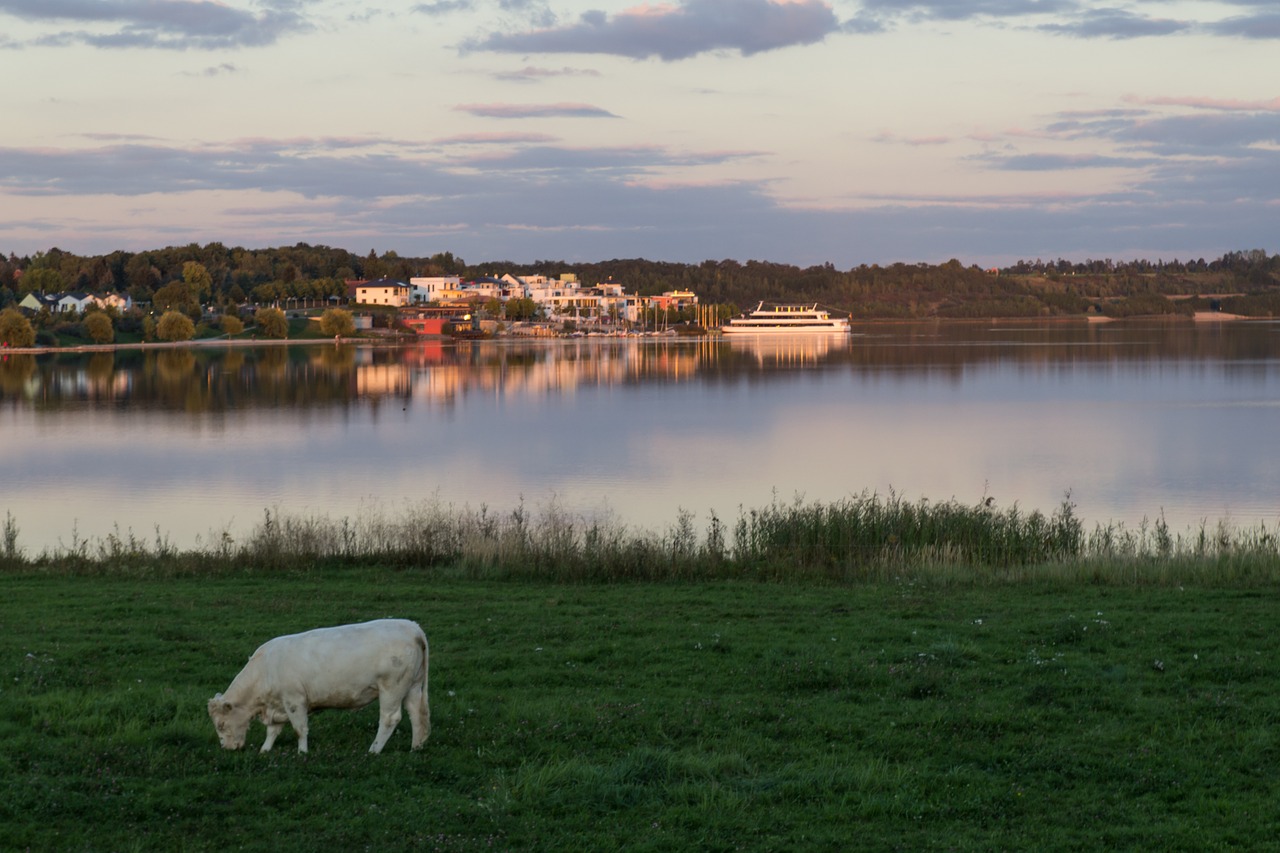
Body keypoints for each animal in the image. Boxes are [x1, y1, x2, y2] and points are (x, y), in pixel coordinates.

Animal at [207, 617, 430, 753]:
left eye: (221, 724)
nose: (227, 748)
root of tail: (413, 628)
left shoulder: (294, 700)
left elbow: (299, 728)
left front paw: (302, 752)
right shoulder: (277, 705)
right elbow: (273, 730)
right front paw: (265, 750)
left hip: (392, 687)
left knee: (390, 718)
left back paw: (374, 750)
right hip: (413, 687)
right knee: (416, 714)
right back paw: (415, 747)